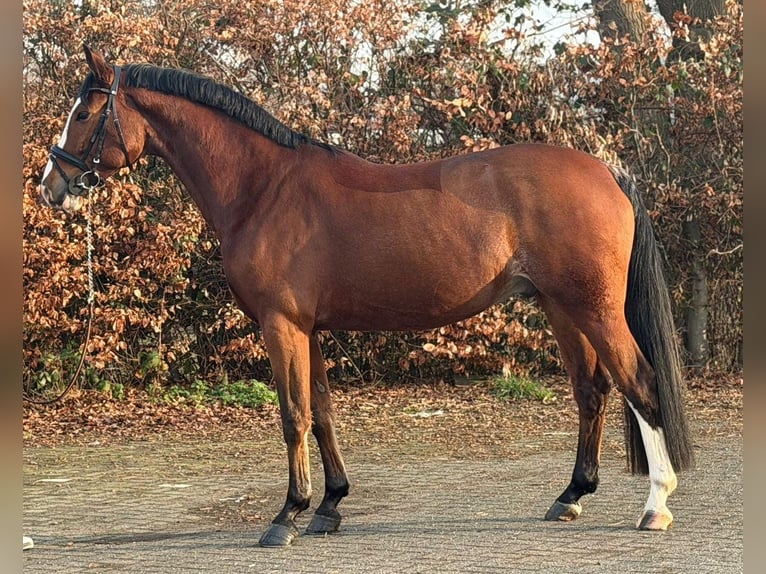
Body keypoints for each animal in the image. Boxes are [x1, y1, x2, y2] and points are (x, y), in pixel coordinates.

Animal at [38, 46, 693, 547]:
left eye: (84, 112)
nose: (52, 187)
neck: (264, 188)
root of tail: (607, 172)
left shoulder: (281, 324)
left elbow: (293, 415)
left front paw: (287, 515)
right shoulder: (308, 328)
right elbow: (323, 413)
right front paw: (330, 505)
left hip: (595, 309)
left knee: (641, 384)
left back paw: (655, 506)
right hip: (562, 309)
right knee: (593, 392)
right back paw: (572, 495)